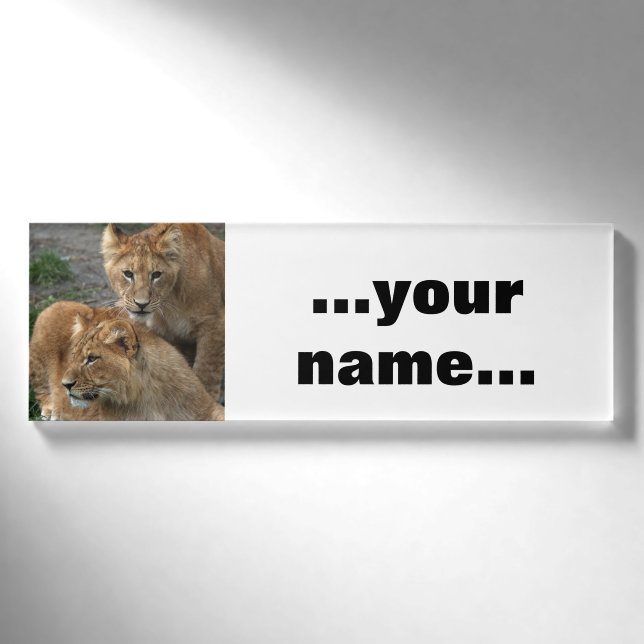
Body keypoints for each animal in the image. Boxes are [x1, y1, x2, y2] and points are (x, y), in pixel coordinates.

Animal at [101, 223, 225, 400]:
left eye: (156, 275)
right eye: (128, 274)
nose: (141, 304)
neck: (169, 303)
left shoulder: (214, 323)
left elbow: (206, 371)